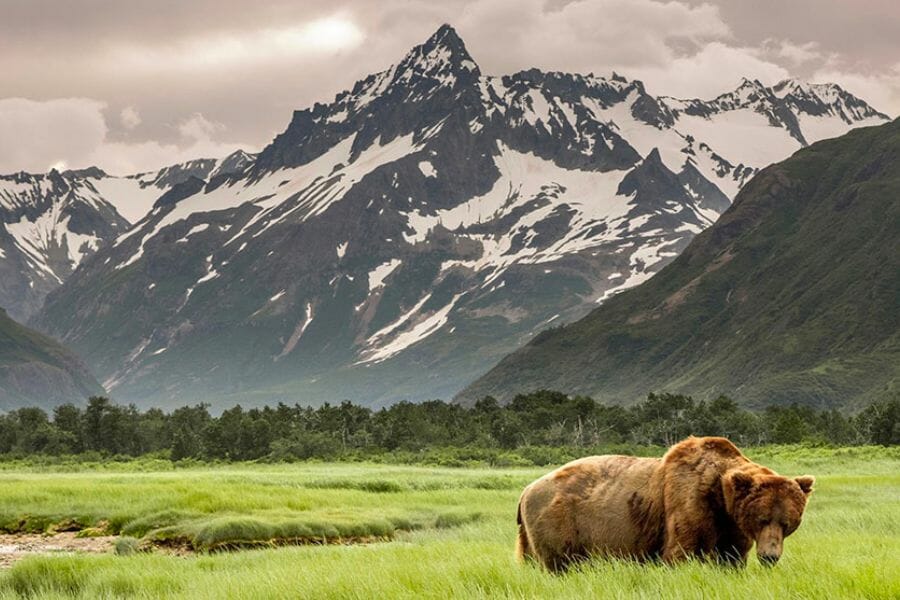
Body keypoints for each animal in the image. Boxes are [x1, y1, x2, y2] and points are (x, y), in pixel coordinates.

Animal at [512, 436, 816, 572]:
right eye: (762, 518)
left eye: (787, 523)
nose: (770, 556)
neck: (720, 498)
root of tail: (526, 490)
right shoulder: (687, 502)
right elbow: (681, 551)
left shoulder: (730, 525)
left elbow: (730, 556)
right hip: (559, 520)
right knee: (558, 562)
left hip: (531, 534)